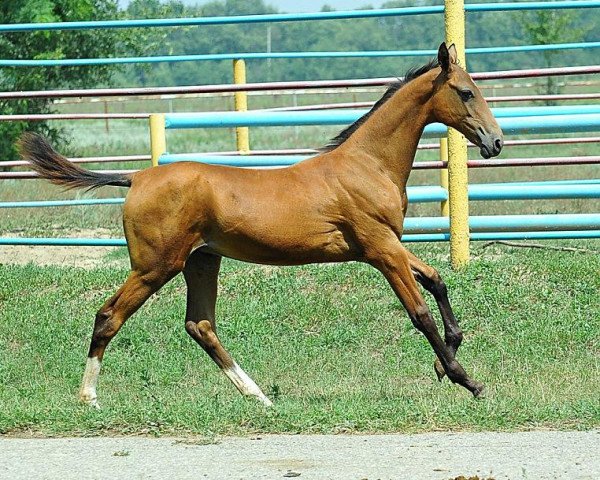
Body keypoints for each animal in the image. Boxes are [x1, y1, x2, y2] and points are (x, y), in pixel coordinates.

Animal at [19, 43, 502, 406]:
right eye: (465, 92)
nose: (495, 142)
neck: (368, 164)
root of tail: (136, 176)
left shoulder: (387, 245)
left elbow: (437, 281)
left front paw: (444, 363)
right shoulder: (380, 249)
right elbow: (420, 313)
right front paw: (467, 380)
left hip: (201, 262)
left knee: (200, 326)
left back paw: (259, 397)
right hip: (155, 266)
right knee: (109, 315)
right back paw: (89, 397)